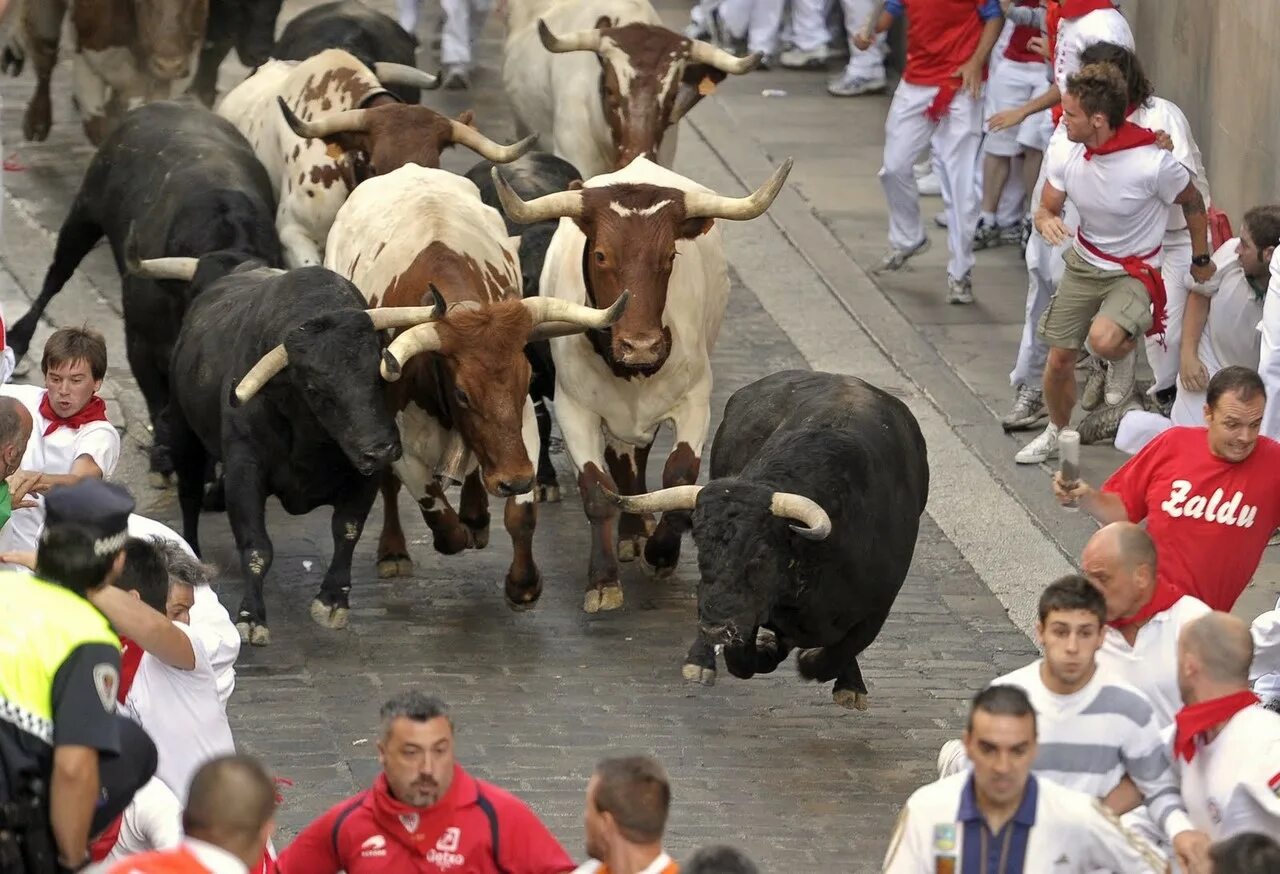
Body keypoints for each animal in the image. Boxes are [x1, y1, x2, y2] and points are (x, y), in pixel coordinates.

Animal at [325, 163, 629, 609]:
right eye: (462, 393)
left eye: (525, 380)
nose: (513, 480)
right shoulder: (398, 441)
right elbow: (436, 512)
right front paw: (451, 532)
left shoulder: (522, 425)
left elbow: (520, 514)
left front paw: (523, 583)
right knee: (391, 488)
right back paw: (395, 551)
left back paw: (476, 514)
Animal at [488, 153, 788, 611]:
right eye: (600, 254)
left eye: (670, 254)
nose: (641, 345)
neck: (630, 369)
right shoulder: (576, 409)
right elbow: (598, 490)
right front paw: (603, 580)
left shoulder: (695, 402)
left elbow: (679, 477)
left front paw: (660, 553)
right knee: (621, 461)